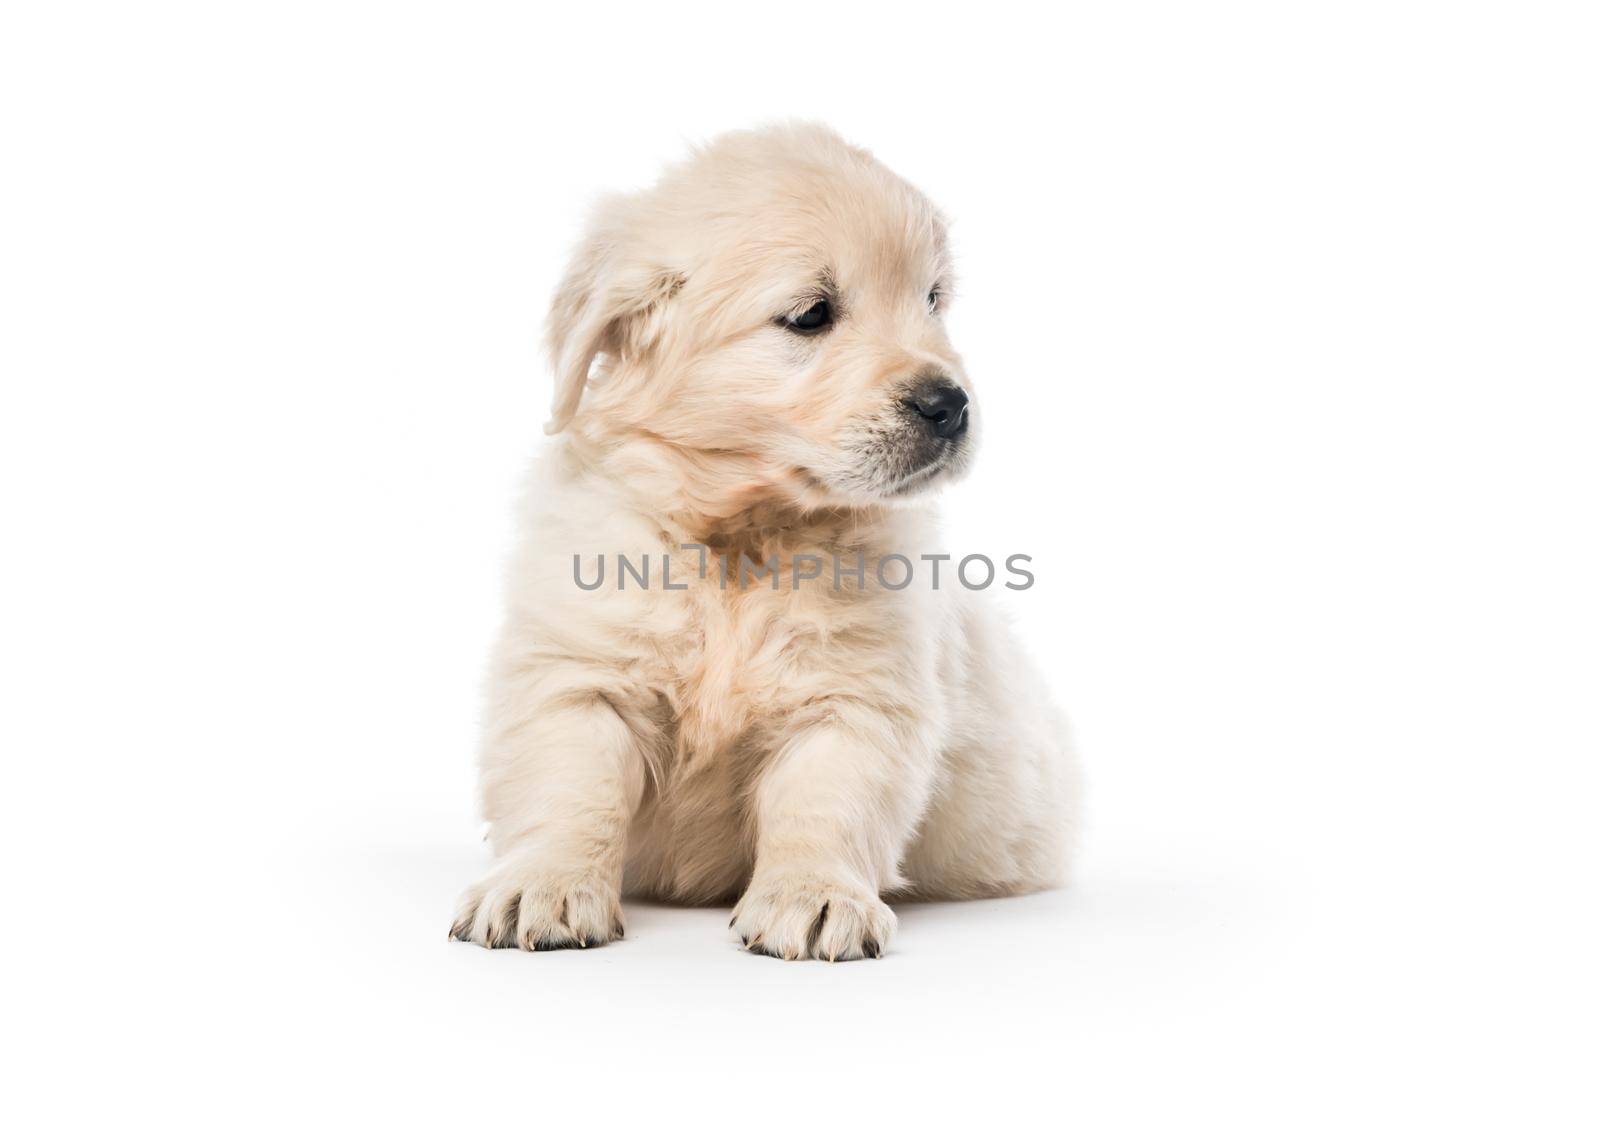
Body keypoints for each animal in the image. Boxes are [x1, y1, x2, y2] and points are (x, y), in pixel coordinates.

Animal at [448, 121, 1075, 953]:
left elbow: (824, 802)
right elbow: (569, 786)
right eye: (811, 314)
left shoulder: (855, 695)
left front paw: (814, 895)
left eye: (932, 299)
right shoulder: (578, 672)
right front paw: (541, 883)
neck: (741, 537)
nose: (950, 405)